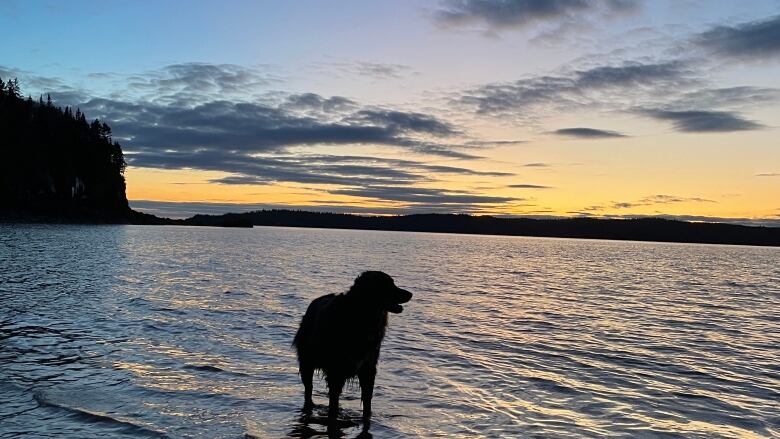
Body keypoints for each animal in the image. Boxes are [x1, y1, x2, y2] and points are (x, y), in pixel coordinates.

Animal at [292, 272, 414, 422]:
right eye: (389, 284)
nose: (410, 294)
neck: (360, 319)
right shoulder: (336, 370)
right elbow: (333, 404)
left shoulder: (368, 369)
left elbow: (367, 401)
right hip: (307, 362)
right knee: (308, 389)